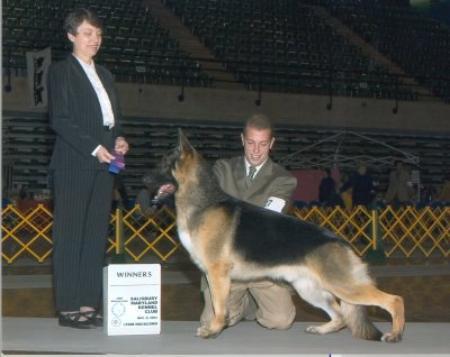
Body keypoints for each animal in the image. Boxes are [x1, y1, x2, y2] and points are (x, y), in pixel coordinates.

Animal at [150, 129, 404, 340]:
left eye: (163, 165)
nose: (143, 180)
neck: (203, 202)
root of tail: (342, 242)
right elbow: (218, 306)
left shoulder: (217, 274)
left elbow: (218, 307)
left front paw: (213, 330)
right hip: (309, 289)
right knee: (340, 315)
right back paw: (322, 329)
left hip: (344, 286)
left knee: (394, 300)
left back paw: (395, 334)